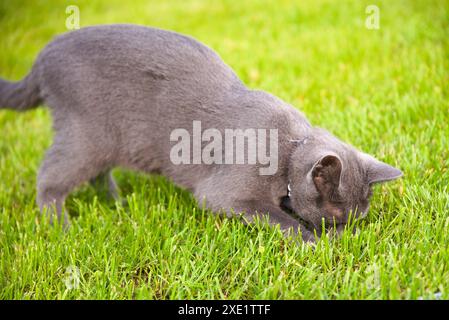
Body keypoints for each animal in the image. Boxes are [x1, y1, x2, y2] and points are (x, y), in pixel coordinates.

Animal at [0, 23, 400, 241]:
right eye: (335, 218)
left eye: (357, 220)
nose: (345, 236)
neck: (289, 148)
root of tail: (42, 57)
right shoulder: (228, 194)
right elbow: (277, 218)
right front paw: (313, 242)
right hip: (88, 136)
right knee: (50, 176)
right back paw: (60, 226)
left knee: (98, 173)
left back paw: (118, 203)